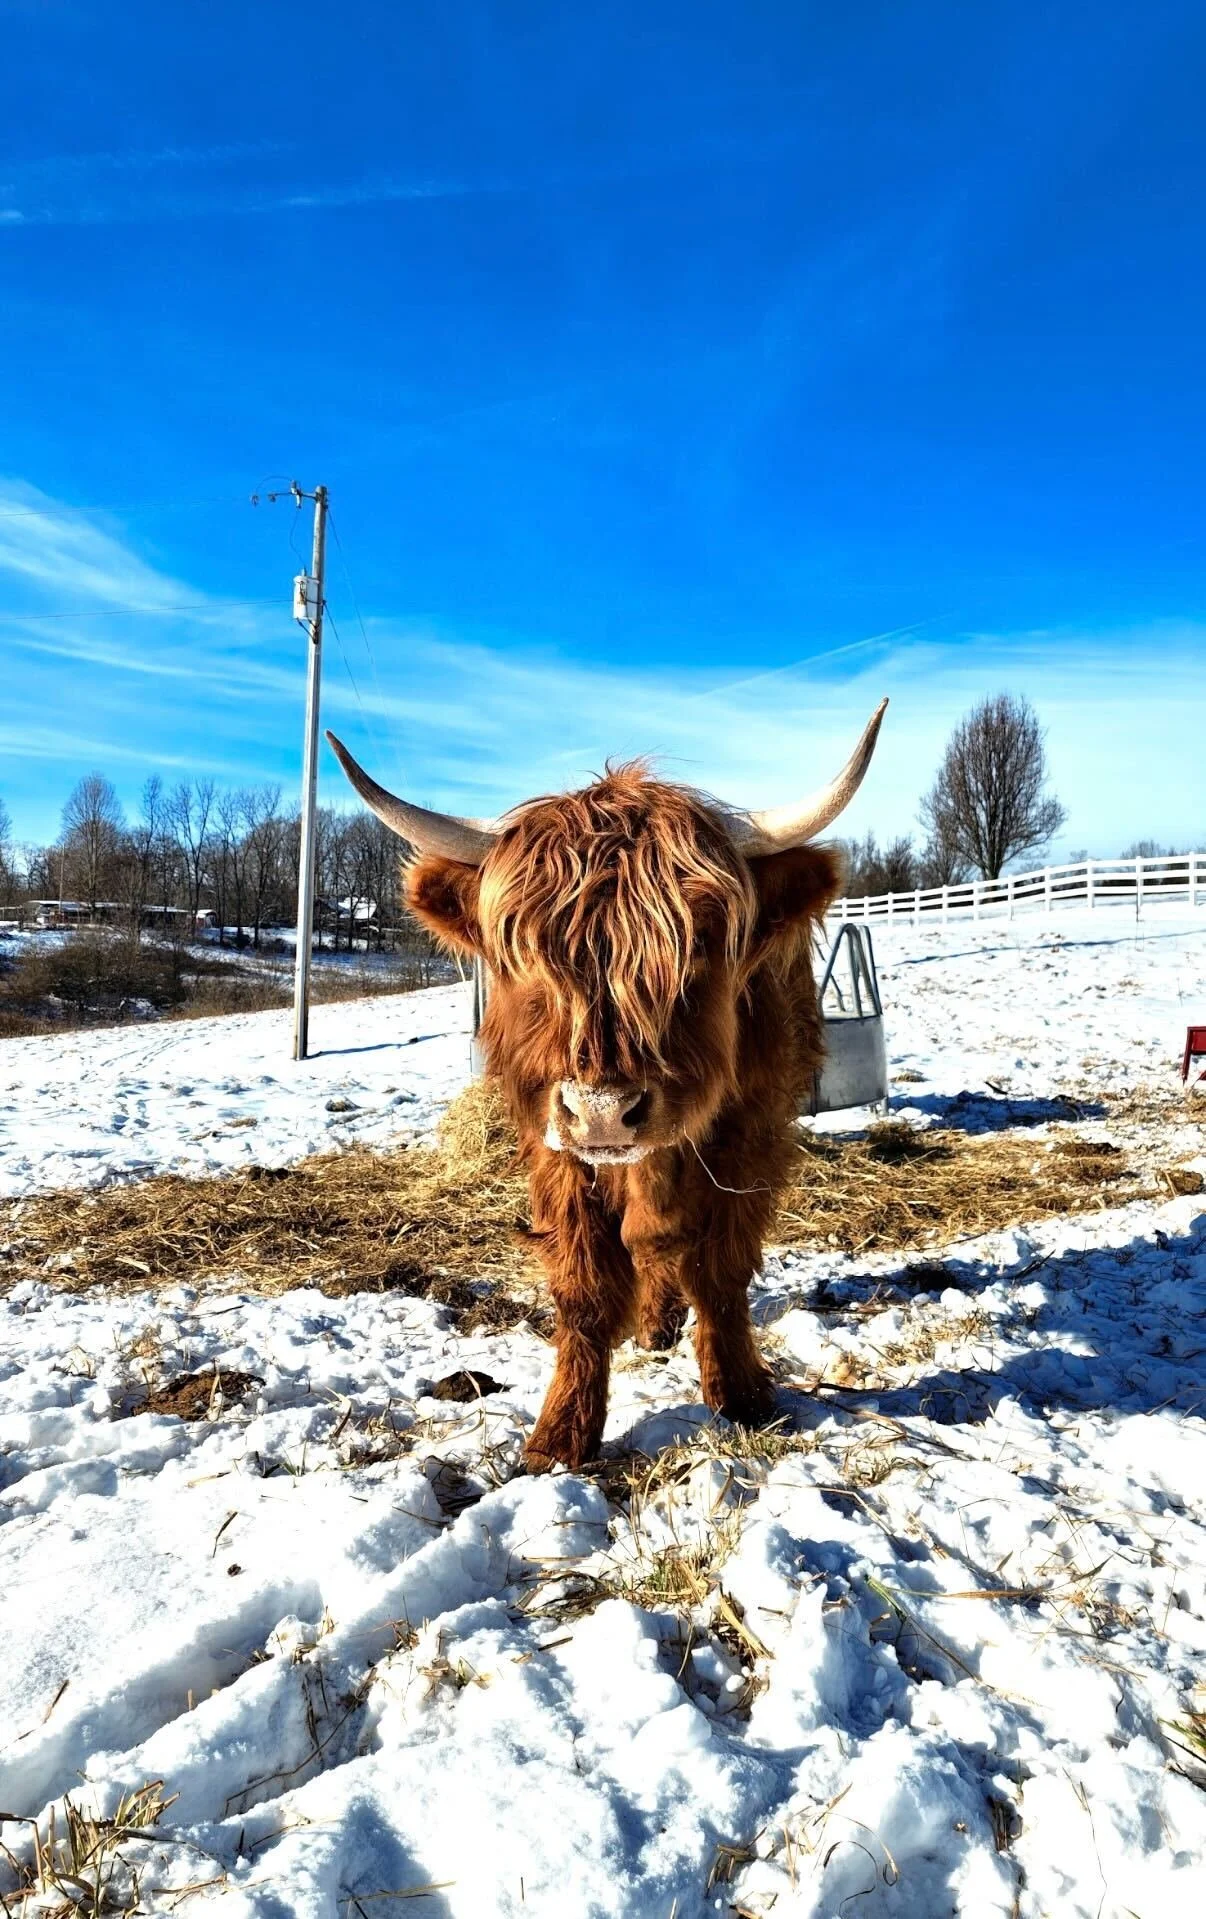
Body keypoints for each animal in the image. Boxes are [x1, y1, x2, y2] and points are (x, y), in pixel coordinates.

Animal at [327, 702, 886, 1471]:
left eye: (700, 942)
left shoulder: (750, 1133)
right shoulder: (555, 1144)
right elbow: (586, 1284)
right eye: (526, 951)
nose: (603, 1113)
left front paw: (741, 1394)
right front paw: (561, 1435)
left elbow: (719, 1267)